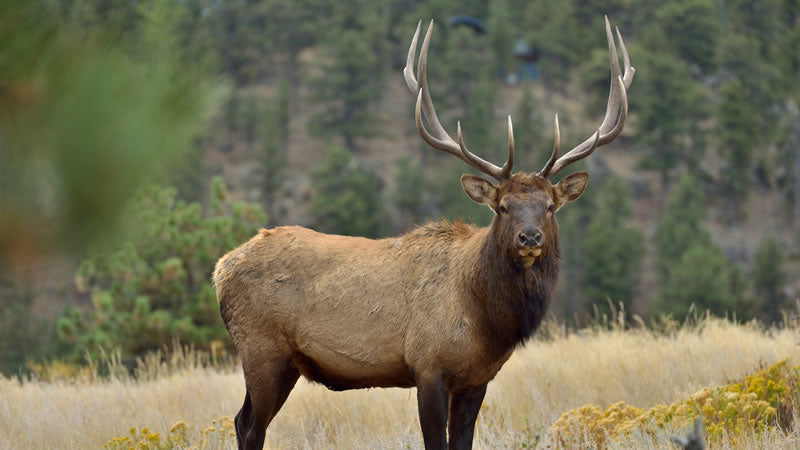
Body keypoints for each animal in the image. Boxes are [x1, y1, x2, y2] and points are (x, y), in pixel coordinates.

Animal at [213, 16, 634, 450]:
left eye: (550, 206)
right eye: (502, 207)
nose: (530, 238)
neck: (484, 321)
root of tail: (221, 268)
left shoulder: (476, 379)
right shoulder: (428, 367)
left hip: (287, 362)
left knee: (242, 421)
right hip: (261, 349)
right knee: (249, 425)